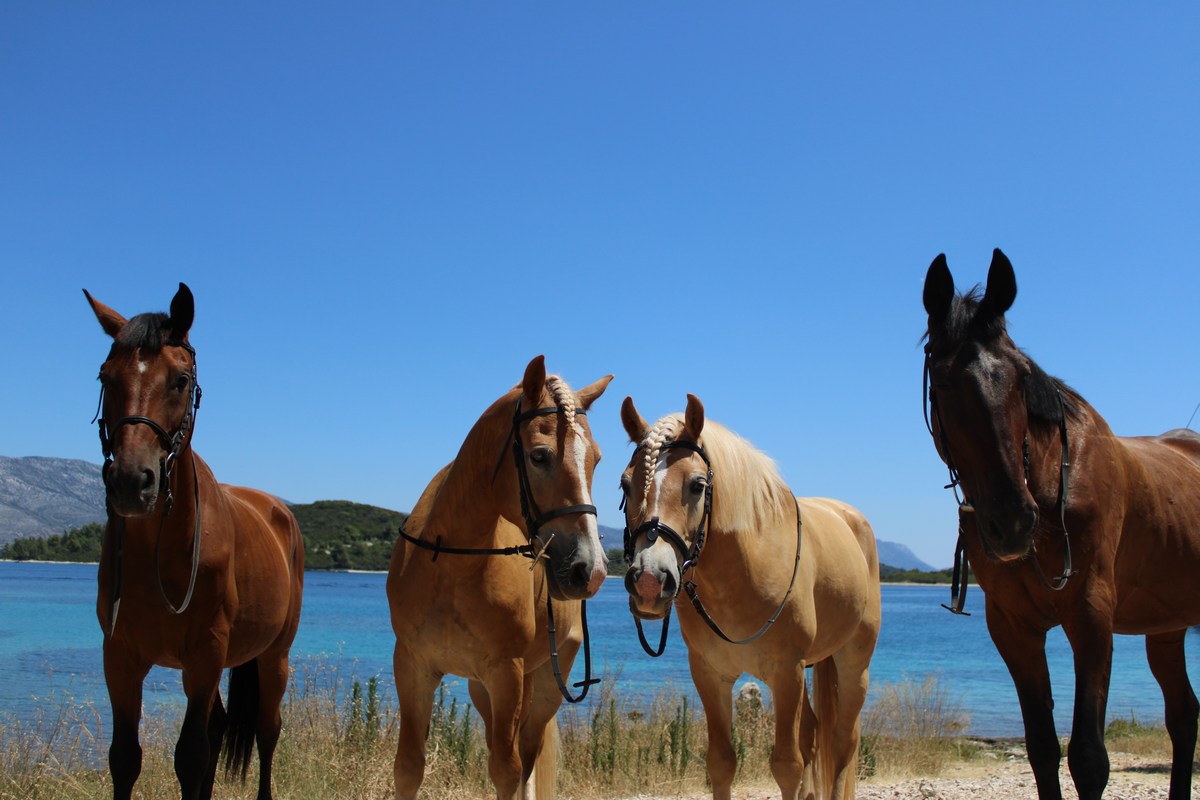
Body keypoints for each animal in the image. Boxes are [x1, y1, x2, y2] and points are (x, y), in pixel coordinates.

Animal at [84, 284, 304, 800]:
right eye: (106, 376)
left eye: (180, 379)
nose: (131, 482)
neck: (161, 552)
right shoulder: (119, 656)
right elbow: (125, 758)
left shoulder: (205, 654)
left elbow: (191, 755)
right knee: (220, 725)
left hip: (274, 657)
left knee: (267, 732)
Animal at [386, 355, 613, 800]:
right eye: (539, 456)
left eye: (595, 460)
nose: (590, 570)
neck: (451, 567)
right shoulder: (412, 666)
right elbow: (407, 769)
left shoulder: (507, 672)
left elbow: (508, 771)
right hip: (484, 689)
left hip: (543, 684)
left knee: (526, 756)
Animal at [619, 394, 881, 800]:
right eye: (625, 485)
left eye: (697, 485)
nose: (649, 580)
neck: (743, 575)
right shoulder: (710, 674)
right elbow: (721, 763)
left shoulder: (786, 672)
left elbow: (787, 765)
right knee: (814, 734)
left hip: (855, 664)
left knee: (843, 742)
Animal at [922, 249, 1200, 800]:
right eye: (942, 382)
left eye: (1021, 378)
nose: (1011, 523)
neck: (1052, 485)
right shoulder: (1014, 628)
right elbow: (1042, 750)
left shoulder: (1091, 615)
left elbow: (1089, 758)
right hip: (1168, 627)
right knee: (1184, 717)